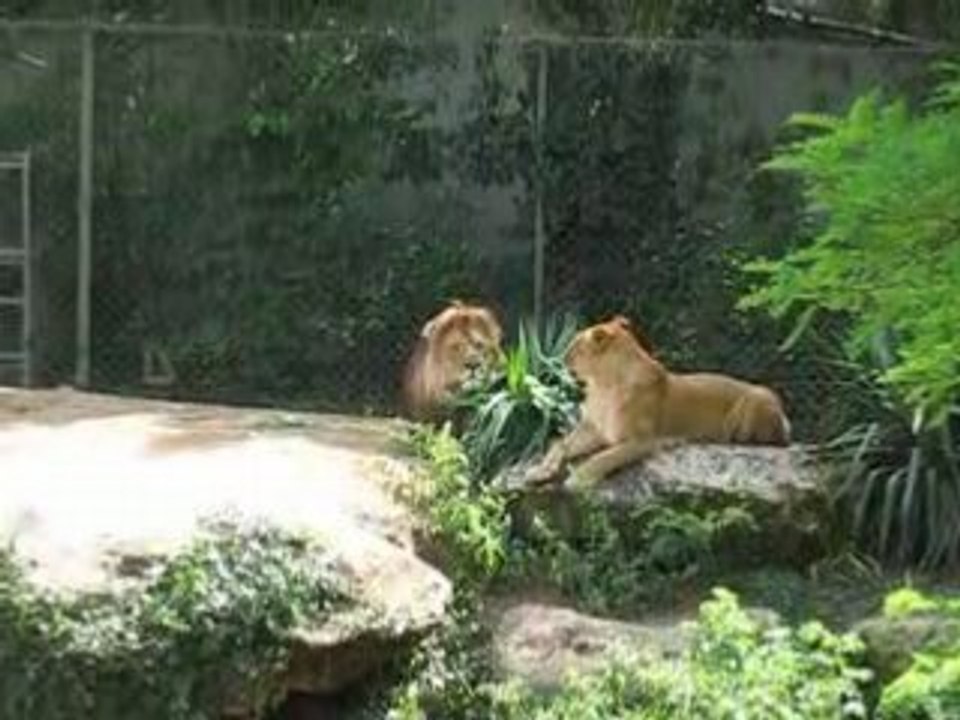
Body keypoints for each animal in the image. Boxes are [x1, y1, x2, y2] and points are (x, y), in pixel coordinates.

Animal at [526, 315, 791, 488]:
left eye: (574, 345)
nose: (560, 357)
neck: (603, 385)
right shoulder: (595, 429)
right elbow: (559, 444)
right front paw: (540, 471)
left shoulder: (642, 440)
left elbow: (603, 457)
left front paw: (578, 478)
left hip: (760, 395)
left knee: (773, 440)